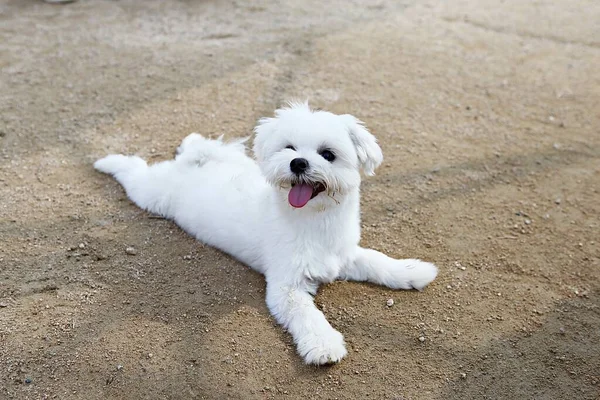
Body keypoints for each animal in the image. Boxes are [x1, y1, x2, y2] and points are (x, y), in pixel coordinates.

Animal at [96, 101, 438, 364]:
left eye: (328, 154)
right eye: (289, 147)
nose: (297, 162)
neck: (315, 222)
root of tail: (196, 164)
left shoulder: (346, 256)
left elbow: (378, 262)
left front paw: (412, 271)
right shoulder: (287, 287)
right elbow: (308, 315)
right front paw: (324, 344)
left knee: (194, 146)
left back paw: (190, 141)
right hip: (151, 194)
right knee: (133, 170)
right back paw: (108, 161)